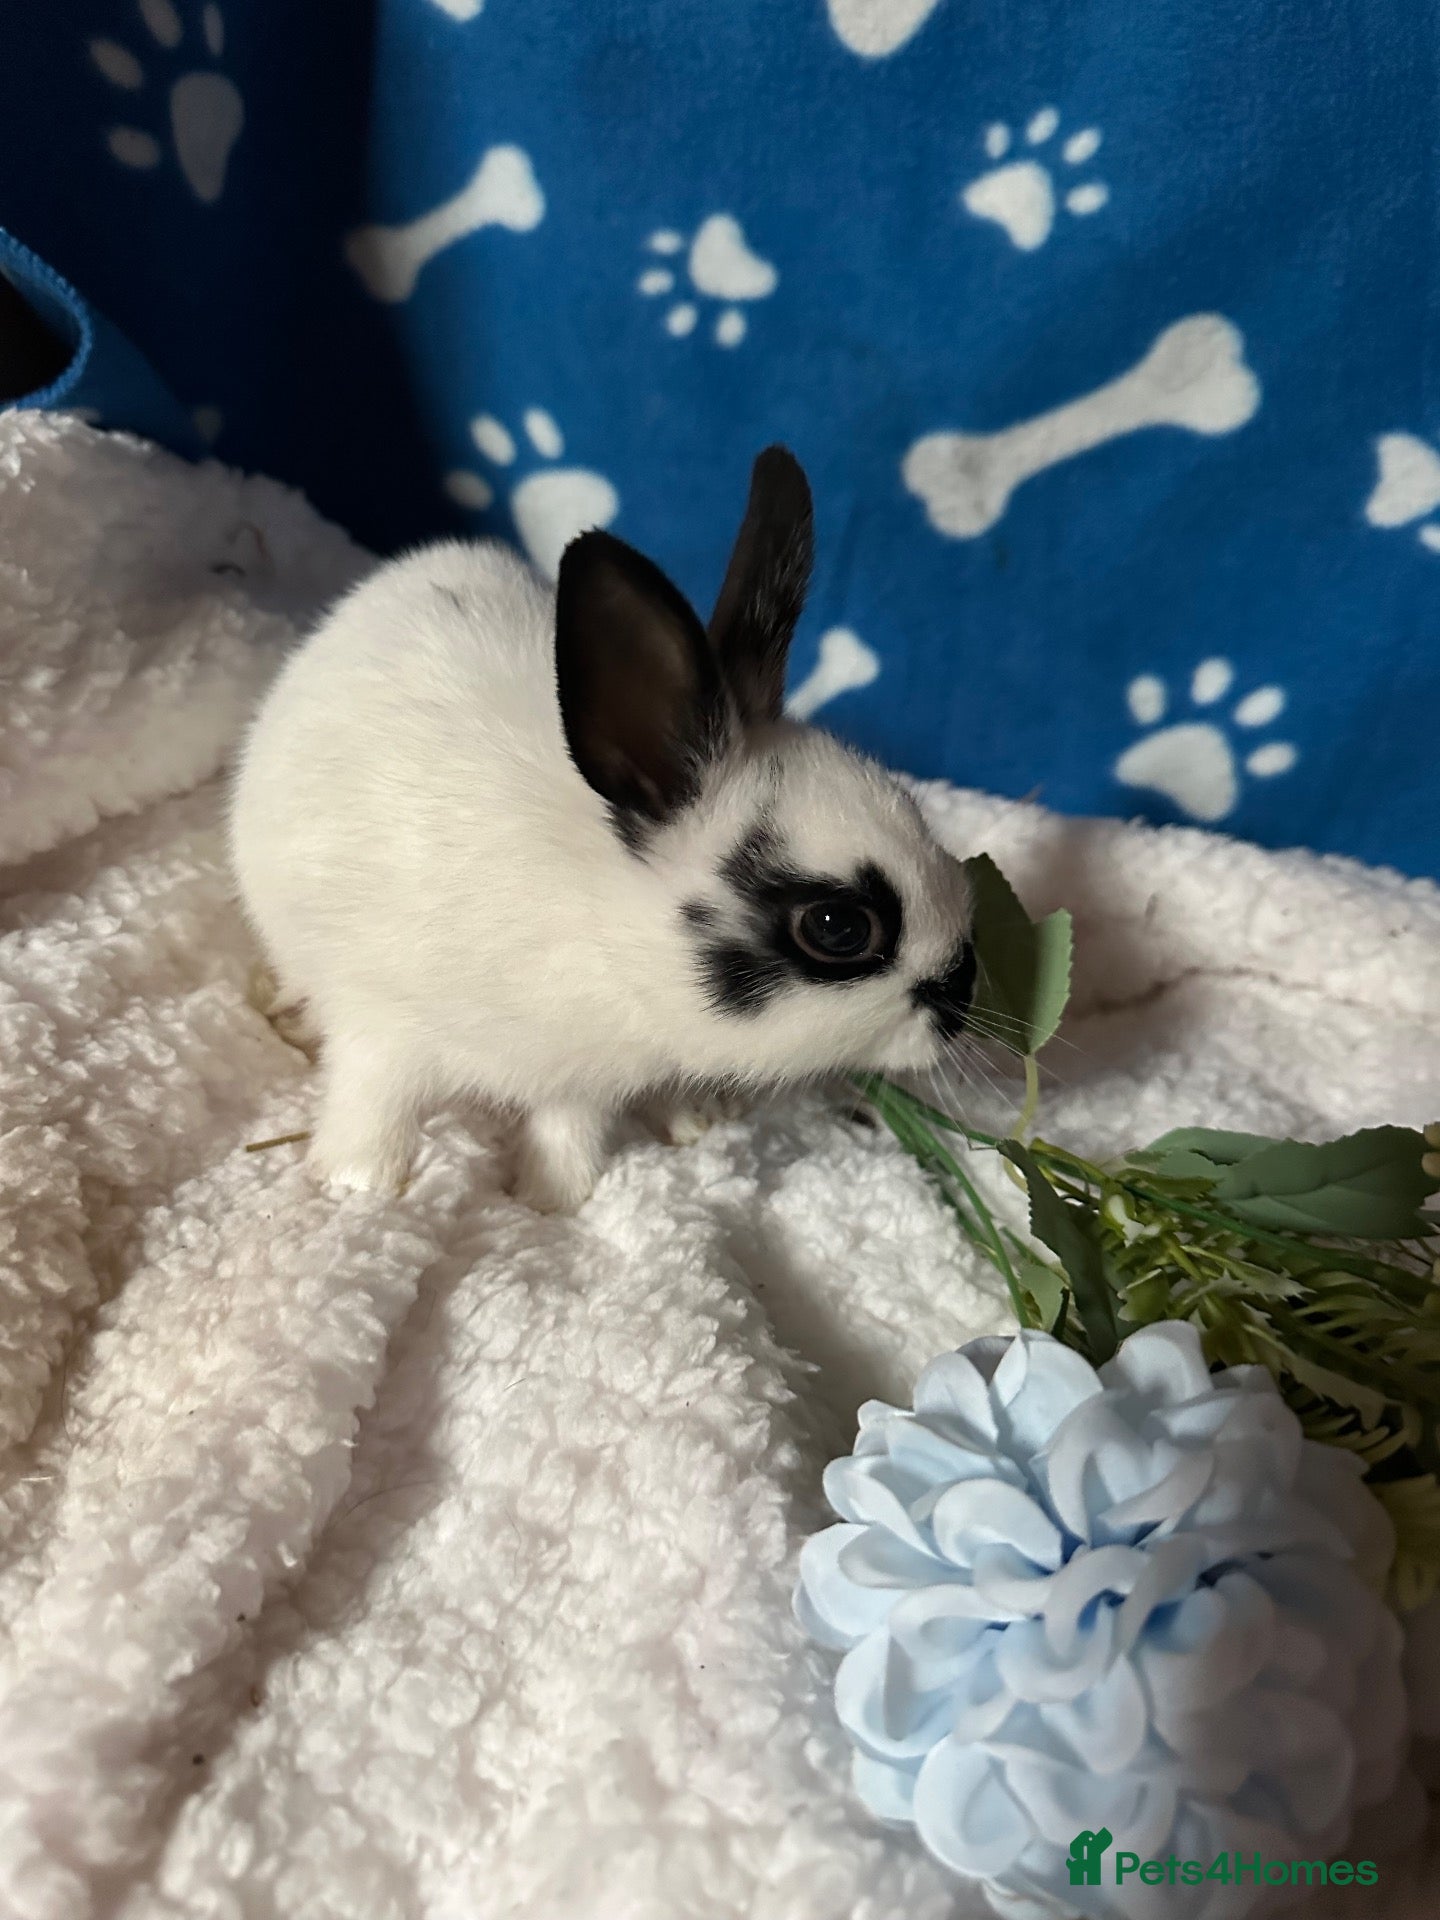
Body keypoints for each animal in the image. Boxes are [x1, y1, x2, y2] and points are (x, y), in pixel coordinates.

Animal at [229, 447, 977, 1212]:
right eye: (838, 927)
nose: (964, 994)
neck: (605, 929)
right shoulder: (383, 1029)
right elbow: (374, 1106)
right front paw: (357, 1189)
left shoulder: (580, 1082)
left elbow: (566, 1132)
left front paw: (550, 1201)